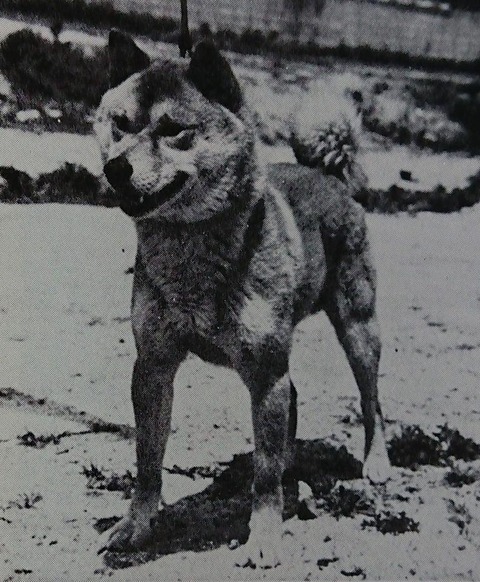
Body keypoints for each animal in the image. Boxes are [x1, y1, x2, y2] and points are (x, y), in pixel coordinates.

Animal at [94, 31, 390, 568]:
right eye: (121, 124)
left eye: (173, 130)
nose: (115, 168)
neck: (191, 251)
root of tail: (330, 177)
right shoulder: (153, 366)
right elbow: (147, 461)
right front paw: (136, 525)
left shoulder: (266, 369)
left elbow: (266, 478)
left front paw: (266, 535)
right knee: (295, 405)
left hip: (359, 327)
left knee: (371, 399)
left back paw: (376, 460)